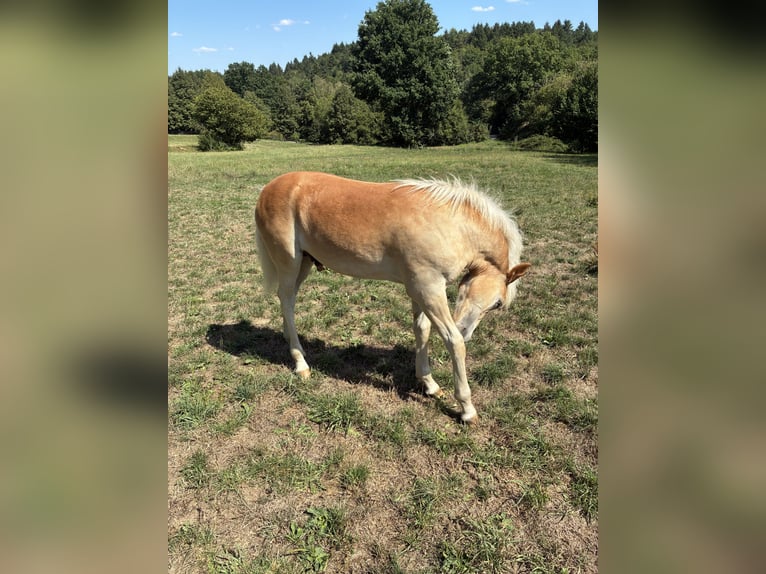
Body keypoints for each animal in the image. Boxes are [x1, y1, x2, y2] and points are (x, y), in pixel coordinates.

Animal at [254, 171, 530, 423]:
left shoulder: (419, 289)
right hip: (289, 262)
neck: (449, 225)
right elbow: (453, 342)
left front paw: (429, 384)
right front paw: (467, 408)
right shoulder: (428, 288)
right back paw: (300, 362)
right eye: (498, 303)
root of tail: (268, 189)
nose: (466, 330)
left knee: (287, 300)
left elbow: (422, 330)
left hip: (304, 263)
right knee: (287, 300)